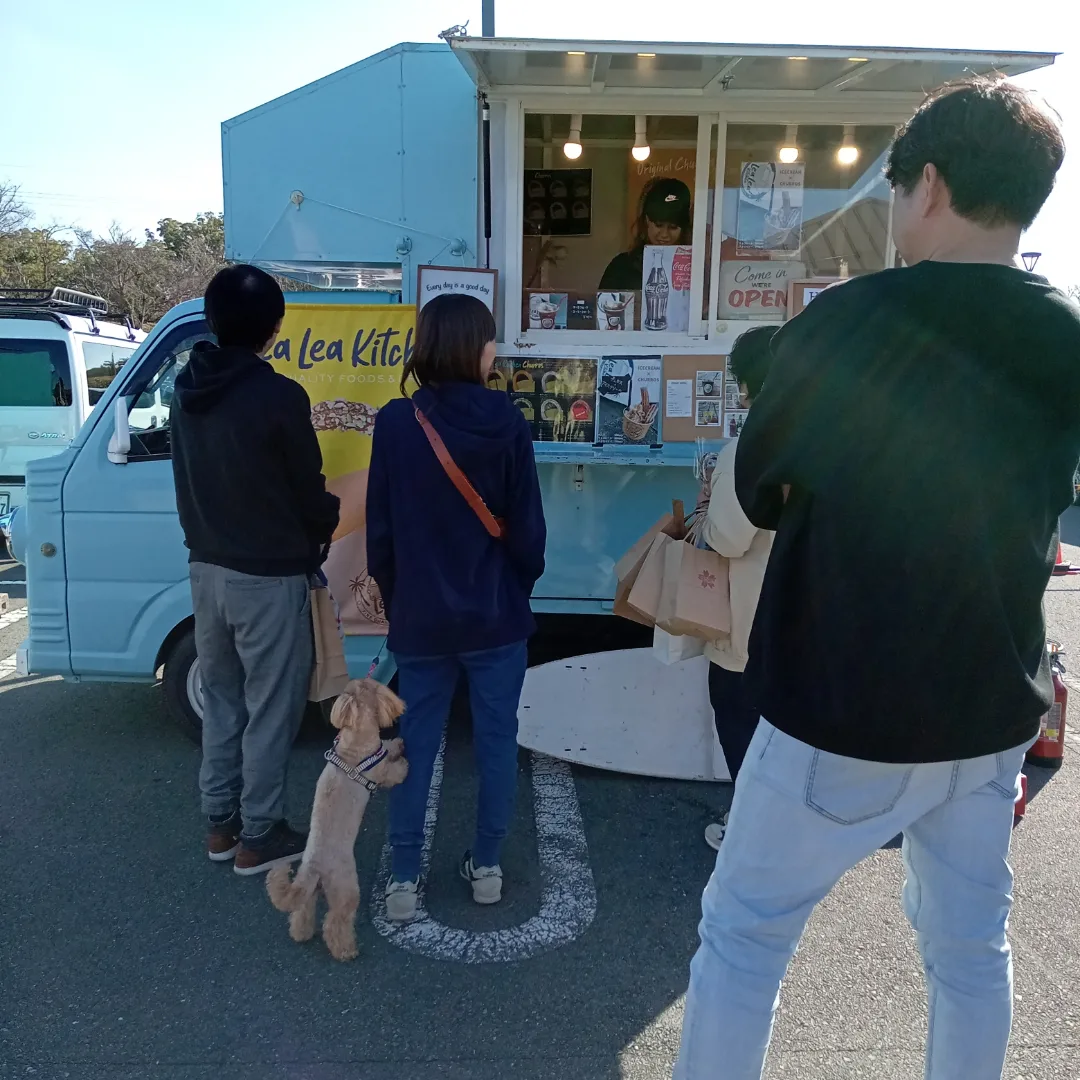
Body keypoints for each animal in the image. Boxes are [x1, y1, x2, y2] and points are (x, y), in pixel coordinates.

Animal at [267, 678, 407, 961]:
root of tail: (316, 867)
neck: (353, 740)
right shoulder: (381, 771)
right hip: (346, 888)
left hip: (309, 890)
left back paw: (300, 934)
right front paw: (404, 762)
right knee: (335, 921)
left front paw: (397, 743)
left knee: (302, 911)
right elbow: (393, 771)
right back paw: (346, 950)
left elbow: (387, 746)